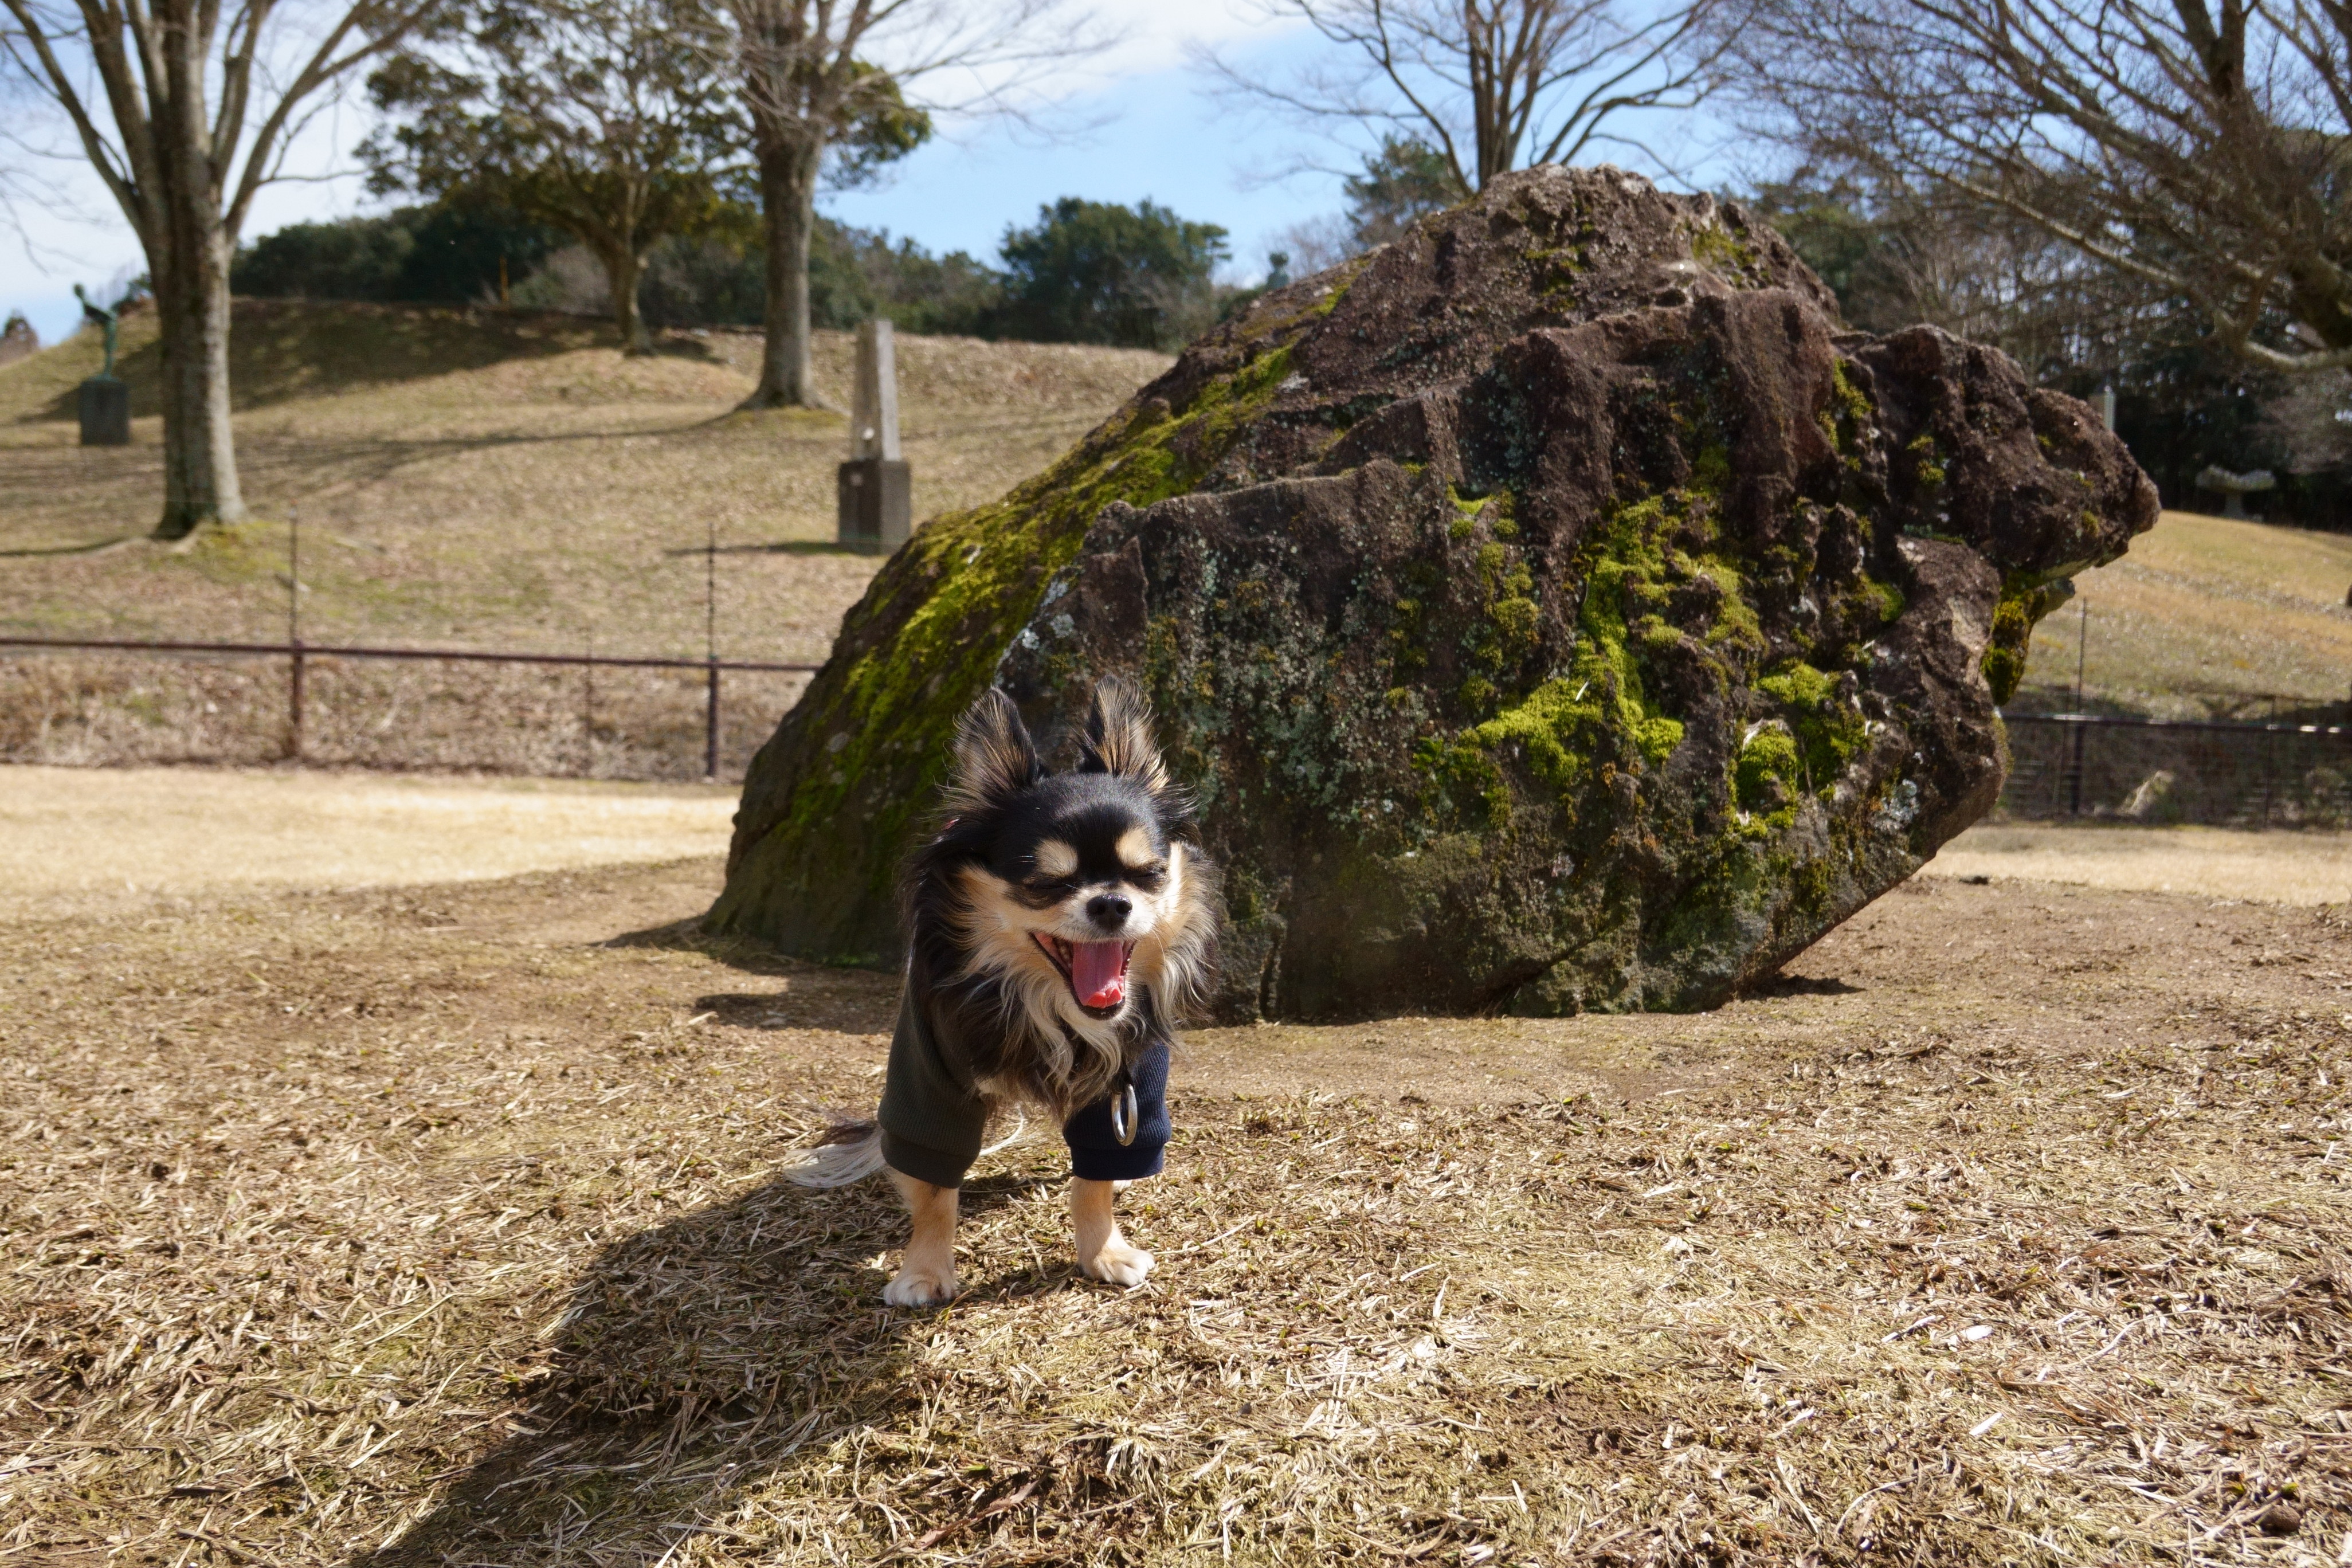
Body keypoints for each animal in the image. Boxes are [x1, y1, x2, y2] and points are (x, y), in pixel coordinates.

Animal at [799, 681, 1223, 1307]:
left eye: (1147, 872)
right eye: (1044, 883)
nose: (1111, 902)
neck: (1049, 1005)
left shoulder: (1128, 1075)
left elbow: (1094, 1179)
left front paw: (1104, 1251)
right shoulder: (928, 1074)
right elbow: (934, 1190)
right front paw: (923, 1270)